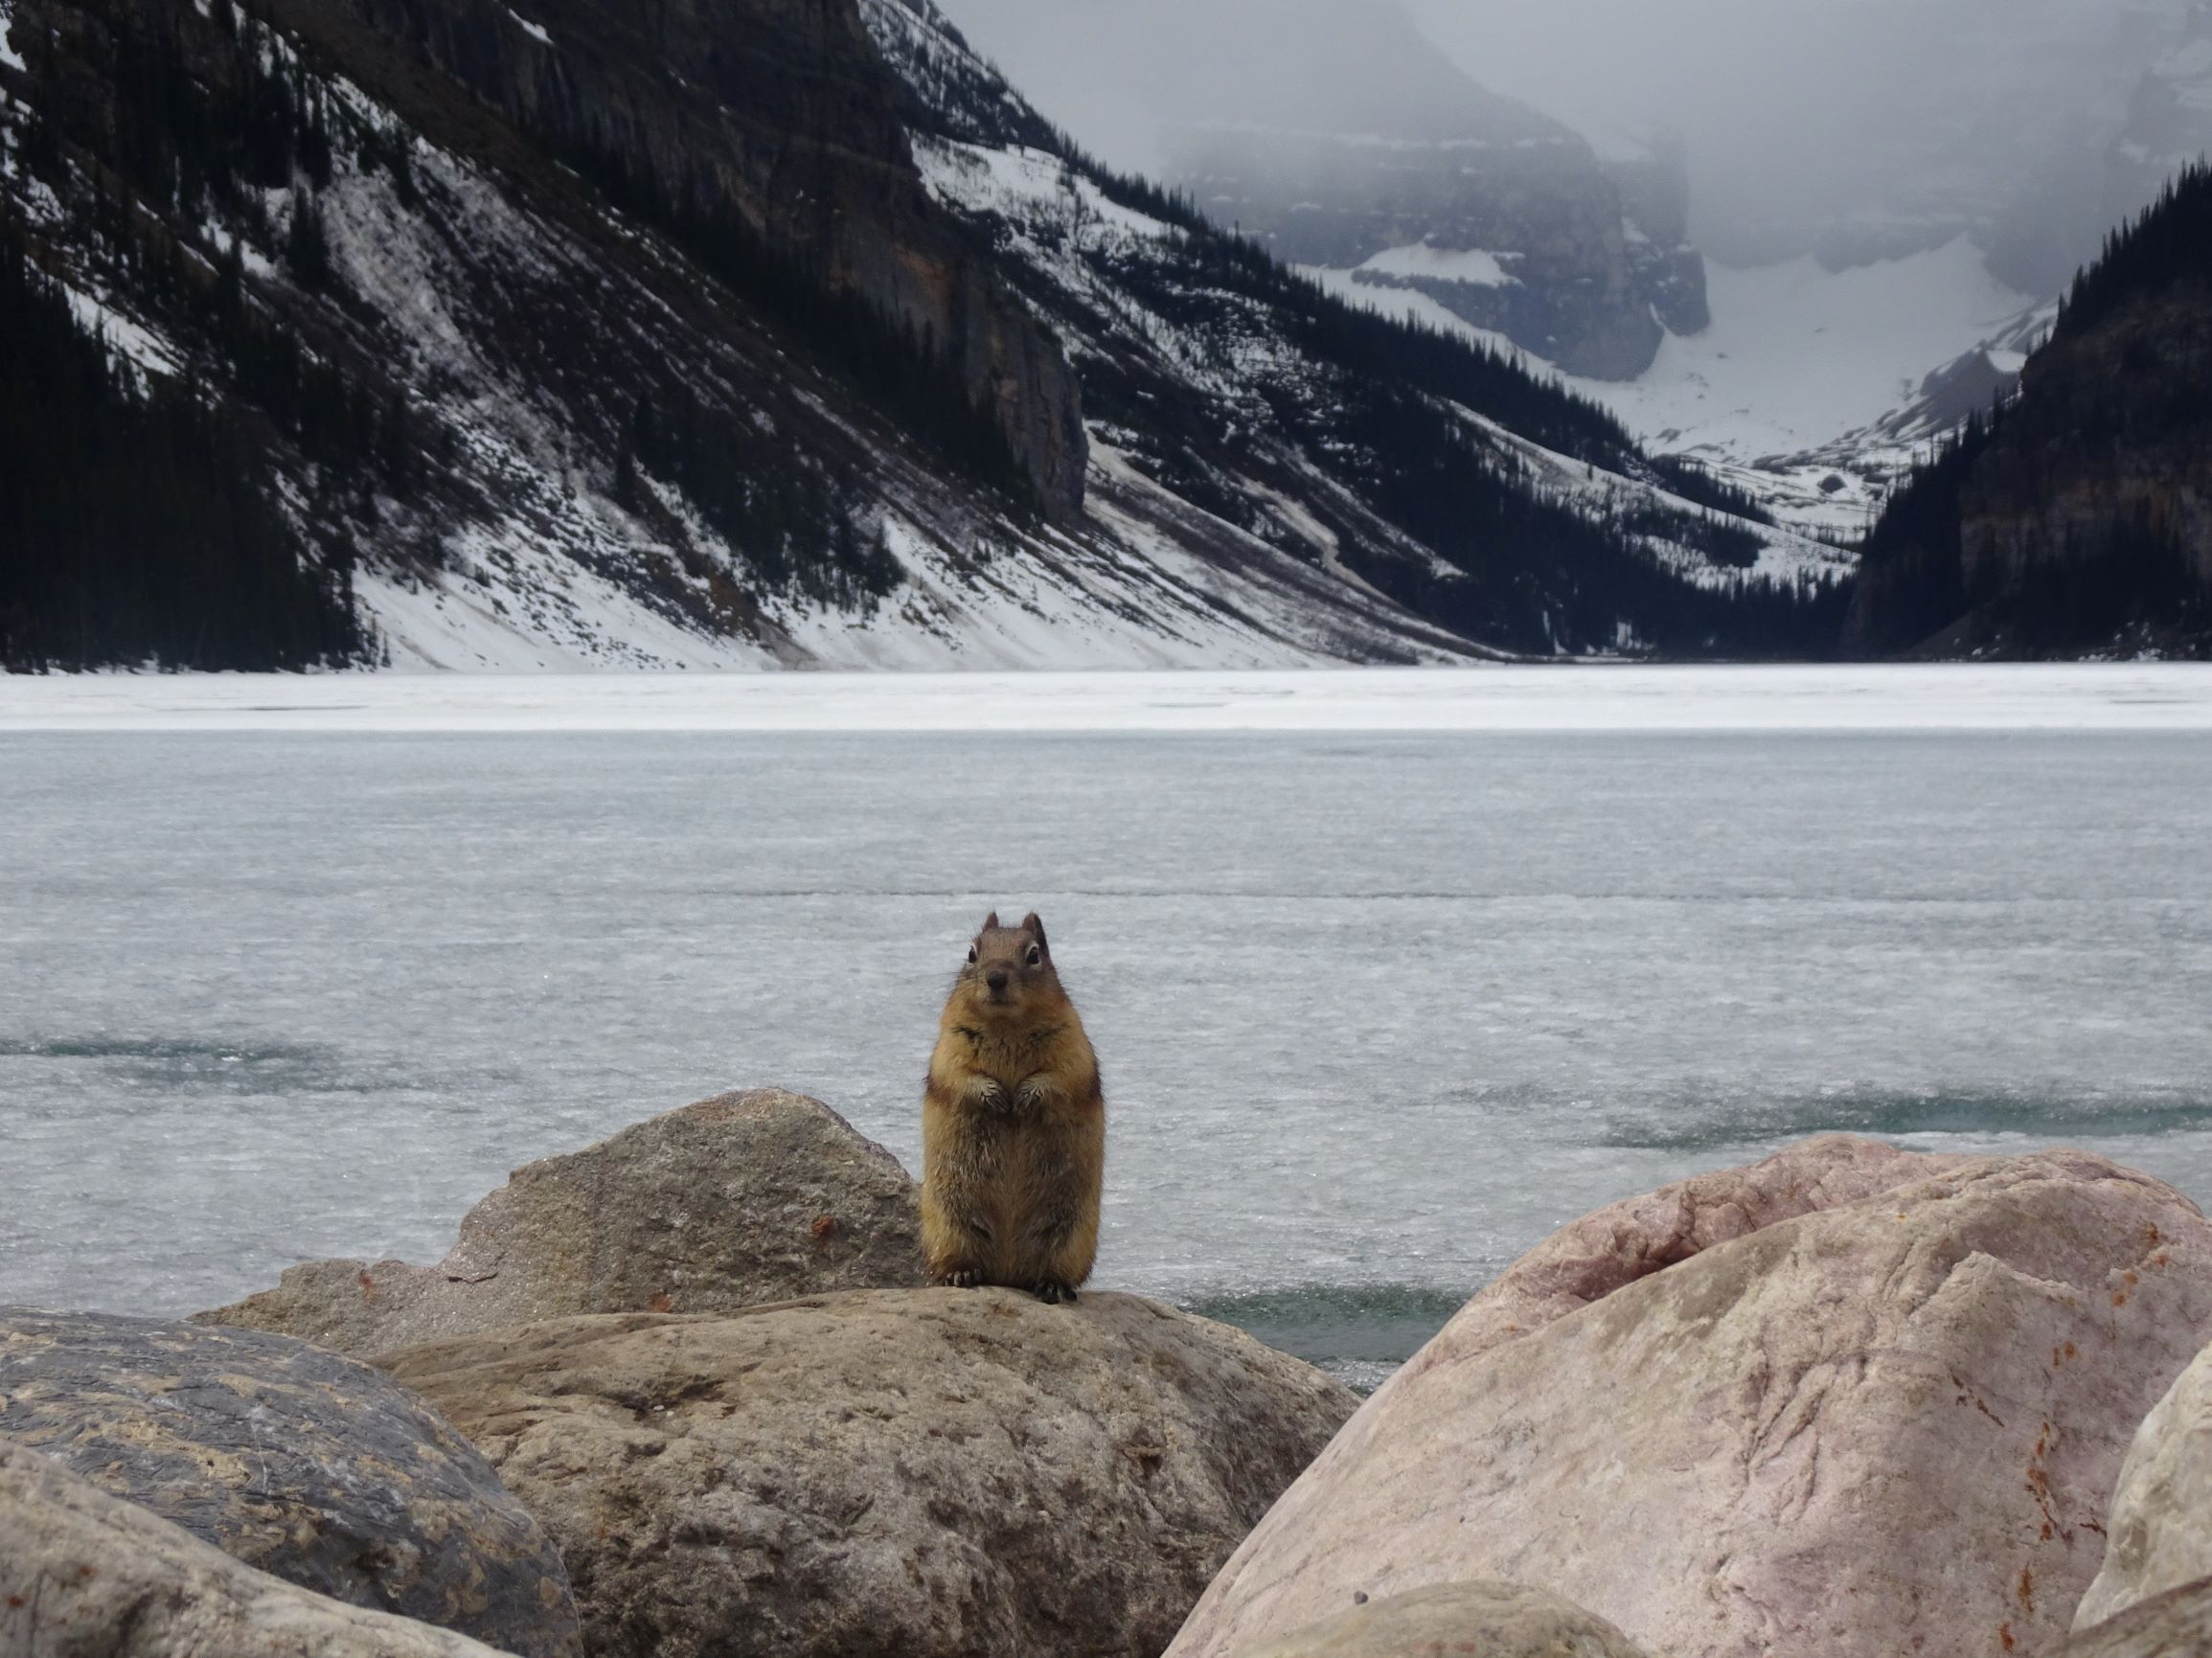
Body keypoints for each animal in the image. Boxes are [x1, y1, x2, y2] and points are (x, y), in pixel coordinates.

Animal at [921, 910, 1104, 1305]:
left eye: (1034, 954)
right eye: (972, 953)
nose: (995, 977)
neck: (1006, 1024)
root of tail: (1007, 1274)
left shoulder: (1073, 1047)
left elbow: (1060, 1077)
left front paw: (1024, 1096)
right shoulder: (949, 1047)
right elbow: (959, 1077)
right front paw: (994, 1095)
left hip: (1070, 1234)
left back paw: (1052, 1285)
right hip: (949, 1223)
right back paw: (961, 1274)